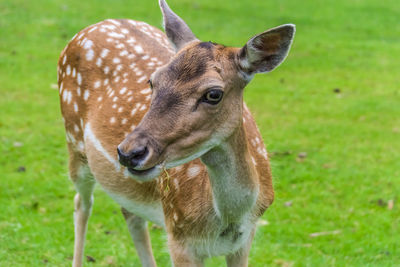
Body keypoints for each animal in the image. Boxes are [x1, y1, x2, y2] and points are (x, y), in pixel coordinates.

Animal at [57, 0, 294, 266]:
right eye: (152, 81)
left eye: (214, 94)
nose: (129, 153)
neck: (229, 219)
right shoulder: (179, 235)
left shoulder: (245, 238)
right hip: (74, 142)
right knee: (82, 203)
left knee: (130, 214)